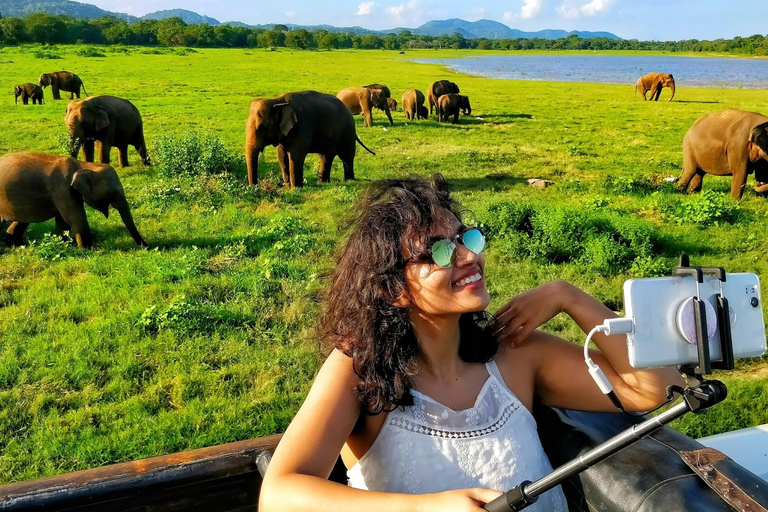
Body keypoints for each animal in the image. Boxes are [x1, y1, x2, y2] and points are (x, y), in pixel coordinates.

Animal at [0, 152, 148, 248]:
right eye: (113, 193)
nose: (147, 247)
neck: (83, 165)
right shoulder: (62, 190)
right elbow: (75, 218)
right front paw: (88, 250)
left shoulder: (65, 193)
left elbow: (63, 220)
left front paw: (63, 244)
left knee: (22, 220)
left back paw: (14, 243)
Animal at [246, 90, 376, 188]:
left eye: (263, 128)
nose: (256, 188)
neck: (277, 100)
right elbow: (282, 155)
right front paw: (288, 187)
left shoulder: (303, 126)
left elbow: (296, 155)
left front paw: (295, 188)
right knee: (326, 157)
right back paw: (323, 183)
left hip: (347, 132)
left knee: (346, 157)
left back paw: (348, 181)